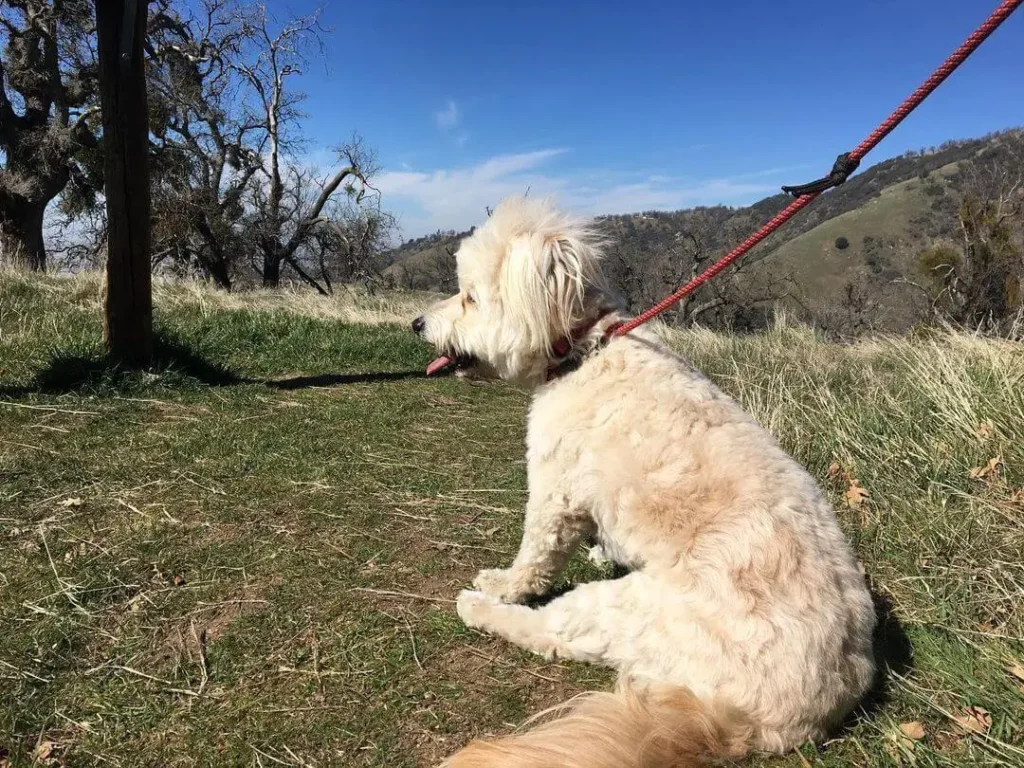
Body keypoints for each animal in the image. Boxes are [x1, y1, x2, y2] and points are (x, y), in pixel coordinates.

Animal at [411, 196, 876, 765]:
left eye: (470, 297)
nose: (416, 323)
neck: (584, 352)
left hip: (623, 609)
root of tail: (758, 723)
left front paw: (505, 583)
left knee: (549, 632)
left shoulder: (555, 491)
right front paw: (600, 549)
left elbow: (534, 559)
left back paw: (480, 608)